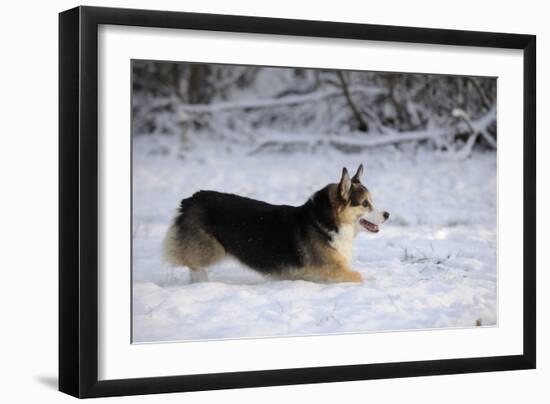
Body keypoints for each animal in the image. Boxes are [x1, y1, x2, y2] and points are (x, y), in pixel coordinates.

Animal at [163, 163, 388, 280]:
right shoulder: (330, 270)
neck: (326, 222)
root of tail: (190, 200)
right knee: (192, 263)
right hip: (211, 249)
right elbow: (359, 276)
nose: (387, 215)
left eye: (372, 201)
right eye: (365, 203)